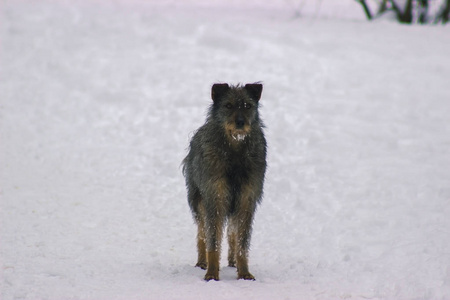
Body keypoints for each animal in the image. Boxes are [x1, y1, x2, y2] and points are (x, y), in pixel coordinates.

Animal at [183, 82, 268, 282]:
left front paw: (244, 273)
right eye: (228, 105)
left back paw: (232, 262)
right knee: (202, 233)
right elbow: (212, 241)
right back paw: (201, 262)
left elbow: (242, 242)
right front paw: (212, 274)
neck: (235, 151)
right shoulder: (215, 199)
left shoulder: (246, 201)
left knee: (232, 233)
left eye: (247, 106)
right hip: (199, 202)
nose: (240, 122)